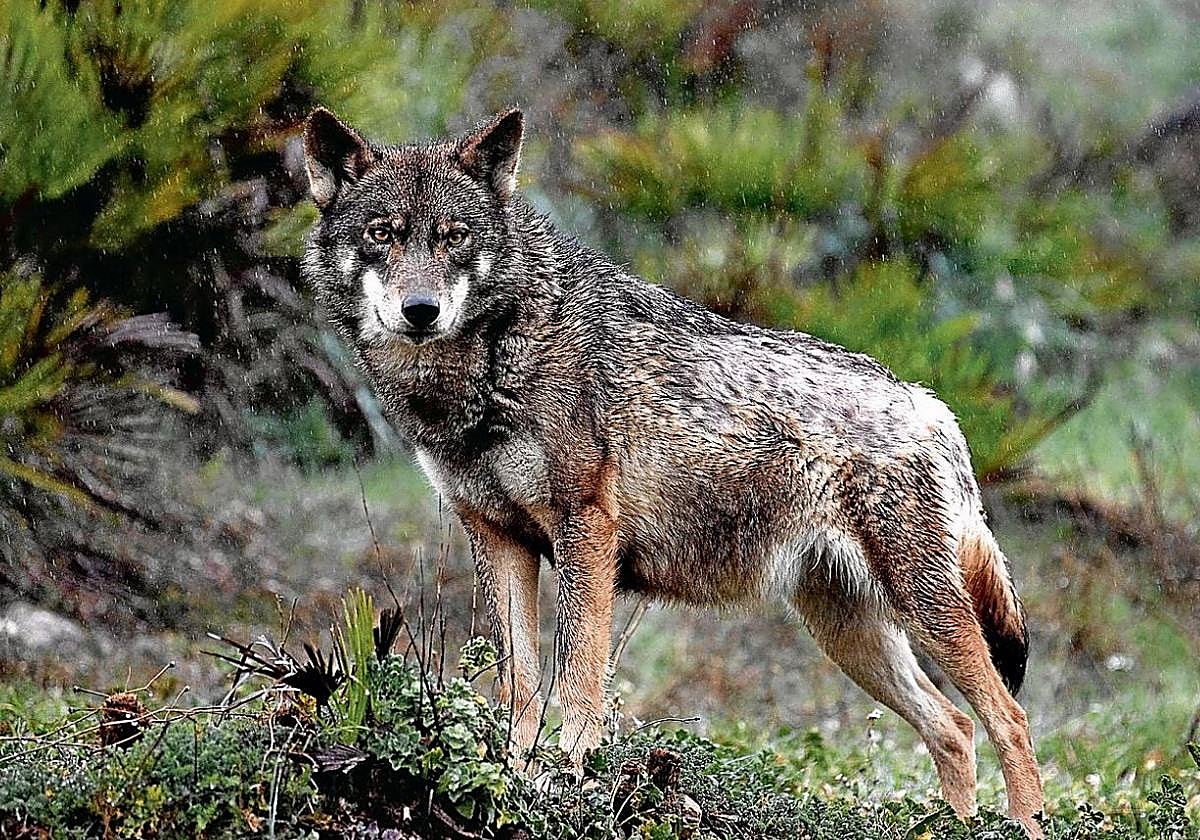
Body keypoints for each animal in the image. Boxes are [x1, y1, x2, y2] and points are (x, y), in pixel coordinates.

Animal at [301, 106, 1045, 837]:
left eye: (453, 237)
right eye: (382, 234)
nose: (420, 311)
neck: (493, 360)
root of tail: (932, 404)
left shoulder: (585, 533)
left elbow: (579, 681)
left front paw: (571, 785)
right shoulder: (497, 537)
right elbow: (522, 687)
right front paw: (512, 783)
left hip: (925, 612)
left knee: (1009, 720)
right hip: (848, 633)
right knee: (953, 728)